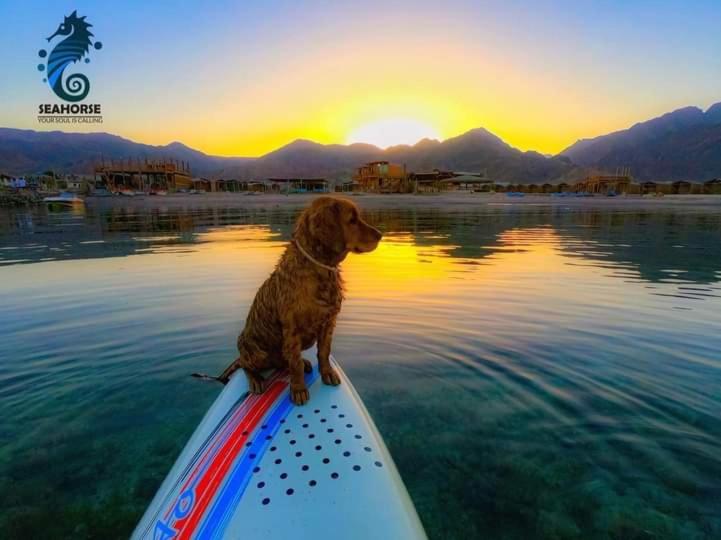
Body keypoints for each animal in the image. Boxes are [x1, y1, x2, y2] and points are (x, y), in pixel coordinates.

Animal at [215, 196, 380, 402]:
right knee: (247, 365)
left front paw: (327, 373)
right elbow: (294, 364)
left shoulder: (328, 322)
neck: (320, 268)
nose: (380, 235)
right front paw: (299, 388)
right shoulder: (292, 329)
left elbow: (324, 352)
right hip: (255, 350)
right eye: (352, 220)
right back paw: (256, 379)